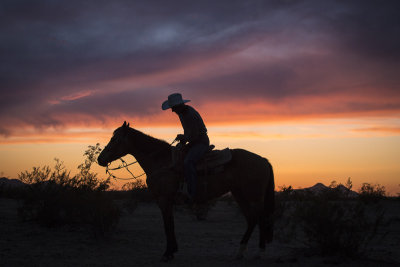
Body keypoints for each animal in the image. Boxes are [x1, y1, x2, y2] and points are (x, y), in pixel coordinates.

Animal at [97, 122, 276, 262]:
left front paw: (167, 254)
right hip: (240, 195)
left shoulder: (164, 199)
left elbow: (167, 225)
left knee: (259, 219)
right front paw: (172, 251)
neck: (162, 162)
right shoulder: (167, 201)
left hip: (253, 196)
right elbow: (171, 224)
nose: (100, 159)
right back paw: (243, 253)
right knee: (253, 220)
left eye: (115, 139)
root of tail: (263, 160)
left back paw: (256, 252)